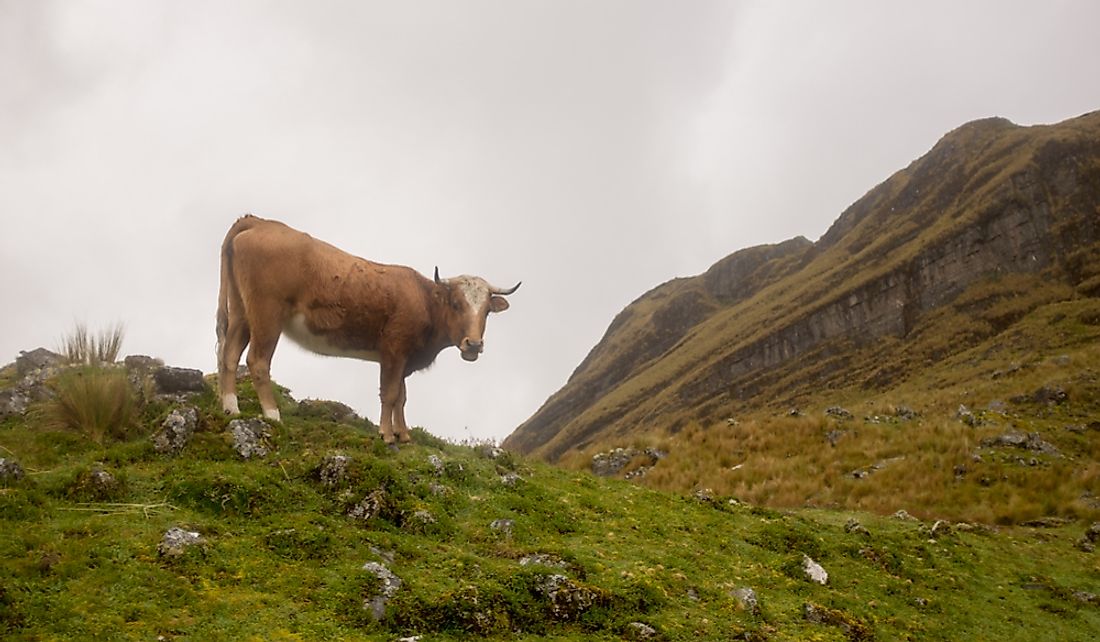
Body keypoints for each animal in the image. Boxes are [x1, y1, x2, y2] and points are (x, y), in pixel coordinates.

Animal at [220, 213, 523, 444]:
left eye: (486, 310)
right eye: (457, 303)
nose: (474, 344)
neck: (425, 301)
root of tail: (258, 222)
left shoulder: (404, 358)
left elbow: (401, 396)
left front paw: (404, 434)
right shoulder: (394, 350)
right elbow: (389, 394)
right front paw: (386, 435)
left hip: (241, 312)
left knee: (229, 355)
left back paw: (230, 407)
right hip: (266, 315)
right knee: (257, 361)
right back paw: (272, 415)